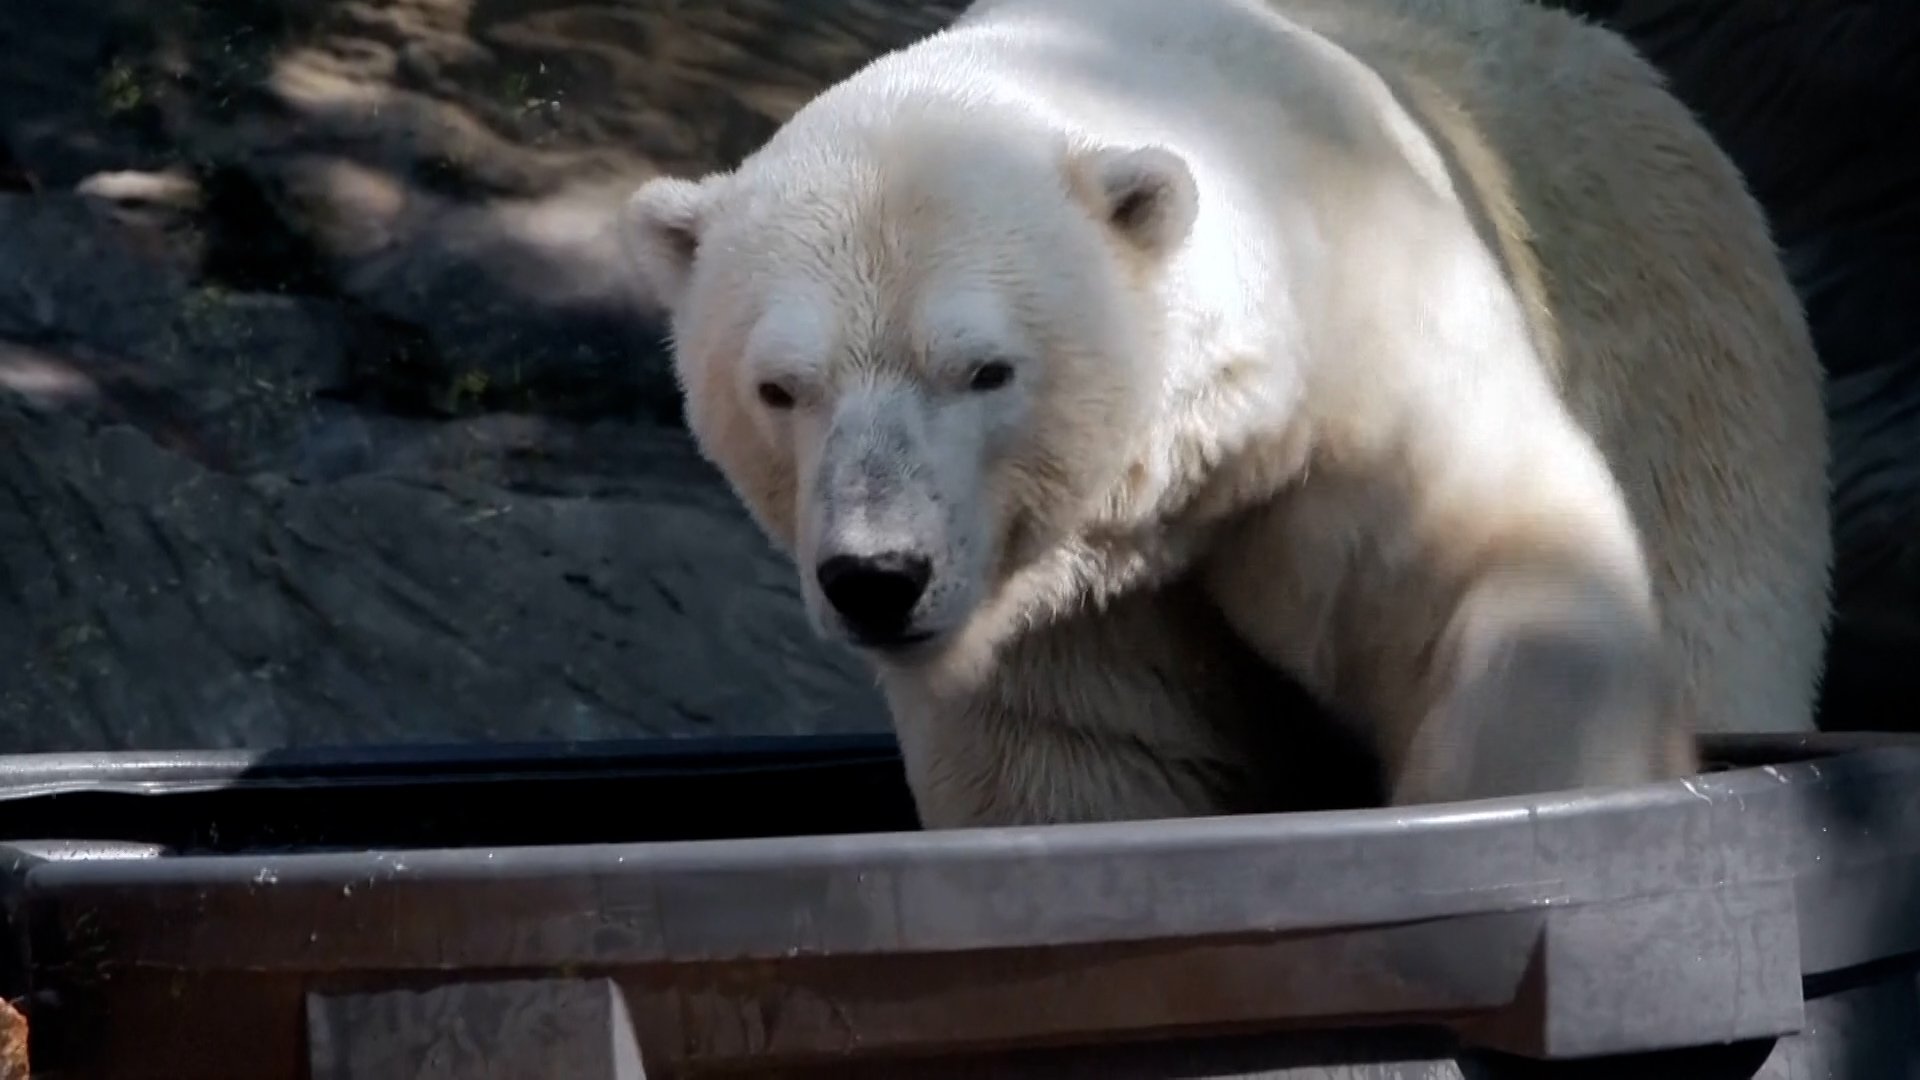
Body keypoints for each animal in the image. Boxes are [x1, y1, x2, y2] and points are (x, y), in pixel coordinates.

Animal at [619, 0, 1832, 826]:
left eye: (984, 370)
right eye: (781, 387)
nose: (877, 578)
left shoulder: (1365, 400)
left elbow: (1502, 580)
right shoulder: (1061, 602)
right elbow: (1079, 764)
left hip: (1698, 392)